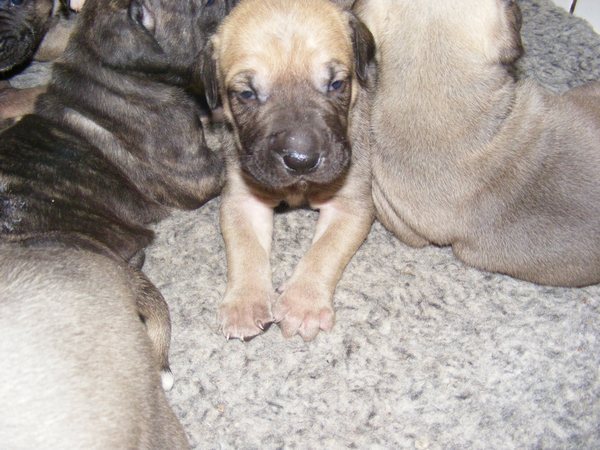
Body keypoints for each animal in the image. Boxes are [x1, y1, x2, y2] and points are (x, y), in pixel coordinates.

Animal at [204, 0, 376, 341]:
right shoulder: (243, 200)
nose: (301, 160)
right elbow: (245, 247)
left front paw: (303, 304)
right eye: (246, 94)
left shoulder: (350, 206)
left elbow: (325, 250)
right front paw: (245, 302)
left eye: (336, 84)